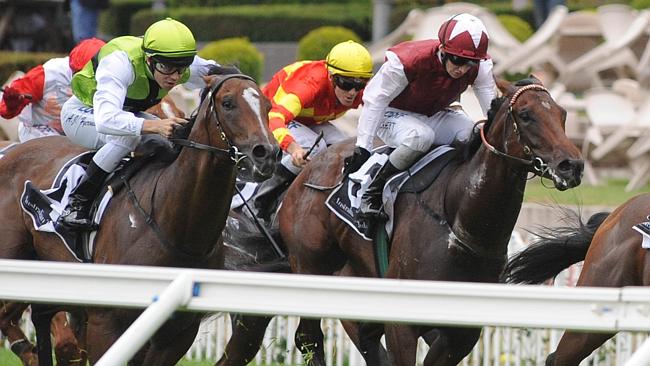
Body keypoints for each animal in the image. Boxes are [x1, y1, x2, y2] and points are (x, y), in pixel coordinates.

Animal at [0, 66, 278, 366]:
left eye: (267, 105)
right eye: (228, 103)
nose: (267, 153)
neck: (176, 225)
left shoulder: (177, 334)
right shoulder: (105, 323)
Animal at [216, 77, 584, 366]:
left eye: (563, 114)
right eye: (526, 115)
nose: (572, 165)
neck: (460, 219)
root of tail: (307, 170)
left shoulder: (460, 334)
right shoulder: (403, 325)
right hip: (308, 266)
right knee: (309, 339)